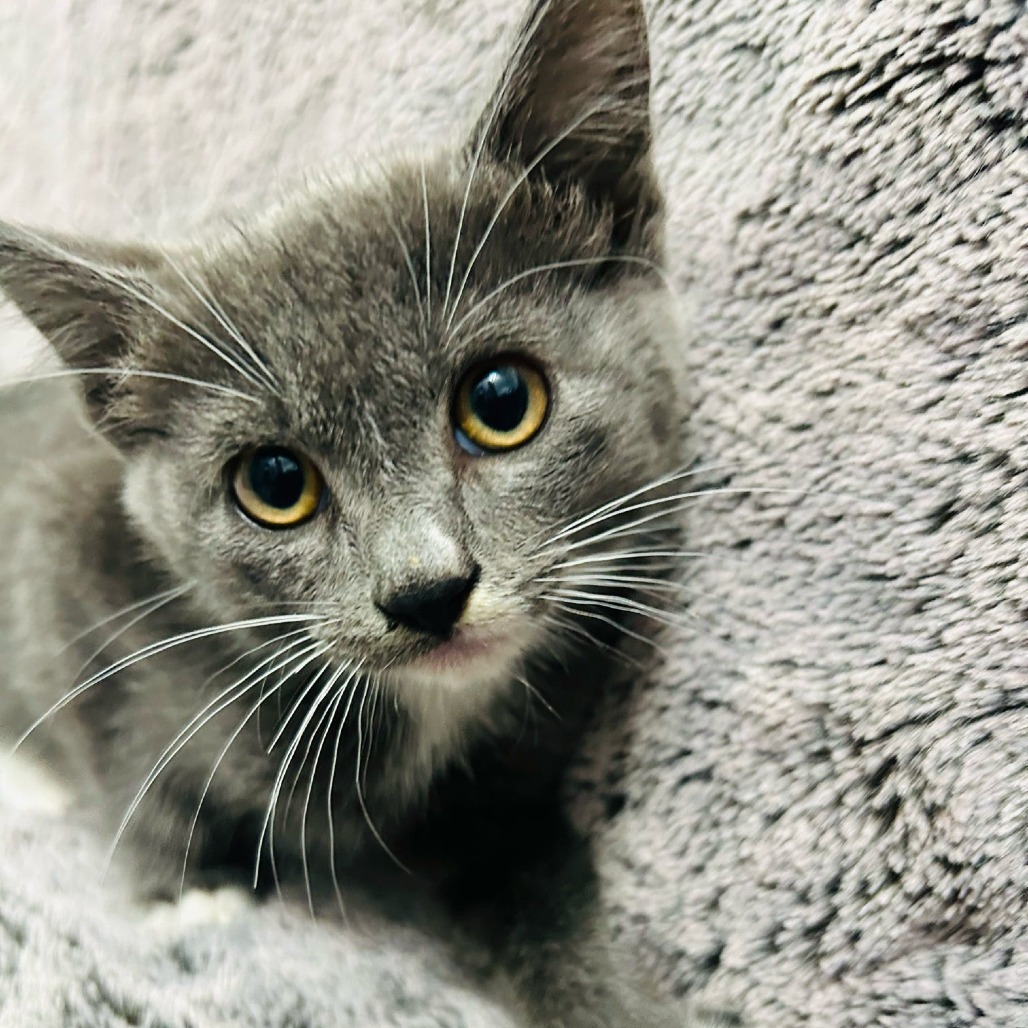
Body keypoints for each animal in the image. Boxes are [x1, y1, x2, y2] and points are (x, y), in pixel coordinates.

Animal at [0, 0, 731, 1024]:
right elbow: (117, 751)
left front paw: (605, 985)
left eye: (502, 400)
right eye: (275, 483)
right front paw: (183, 896)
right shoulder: (59, 555)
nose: (427, 591)